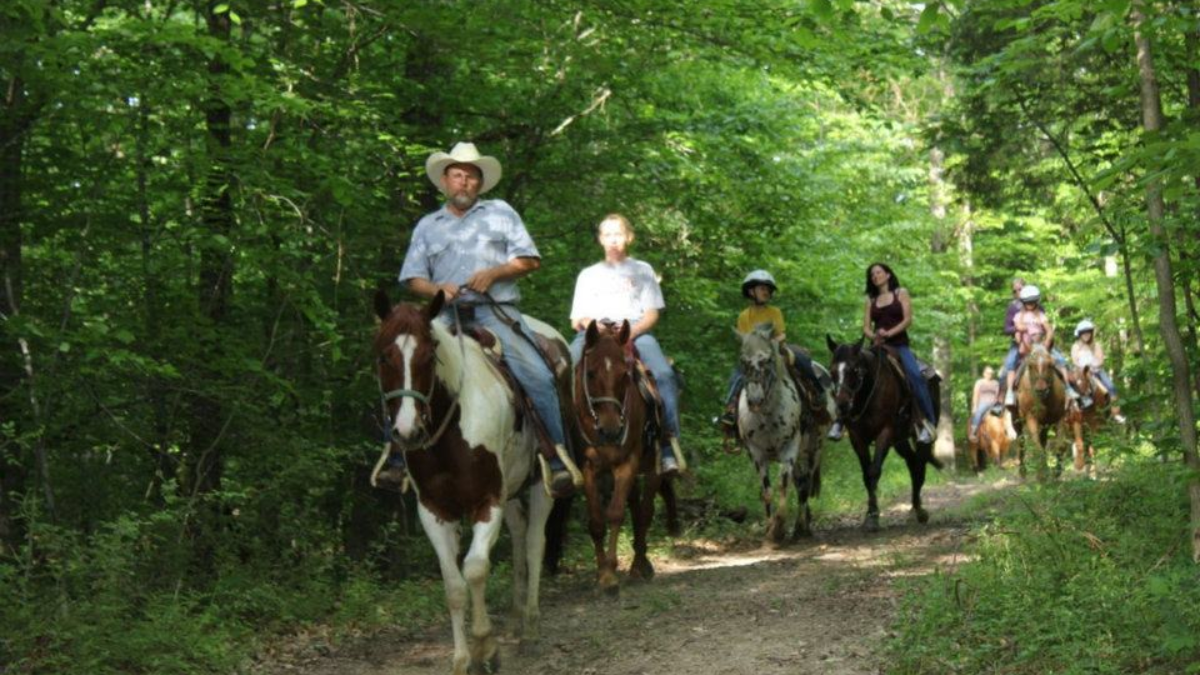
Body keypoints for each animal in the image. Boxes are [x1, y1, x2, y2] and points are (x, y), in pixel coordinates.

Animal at [372, 289, 564, 672]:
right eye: (384, 356)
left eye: (429, 356)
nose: (407, 431)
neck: (453, 431)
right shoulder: (434, 510)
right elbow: (454, 585)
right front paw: (462, 658)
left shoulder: (486, 501)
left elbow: (475, 569)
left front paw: (485, 647)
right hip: (511, 492)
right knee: (519, 536)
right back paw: (516, 620)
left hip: (541, 482)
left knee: (534, 543)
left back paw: (531, 626)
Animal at [573, 317, 672, 590]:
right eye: (590, 373)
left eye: (624, 375)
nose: (611, 429)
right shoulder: (588, 466)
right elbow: (596, 521)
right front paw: (601, 573)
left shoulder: (627, 463)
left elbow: (616, 513)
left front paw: (610, 575)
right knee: (637, 509)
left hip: (652, 466)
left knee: (645, 513)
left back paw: (639, 565)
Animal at [734, 324, 830, 540]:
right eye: (743, 360)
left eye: (768, 359)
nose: (755, 400)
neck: (767, 417)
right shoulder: (756, 453)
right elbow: (767, 491)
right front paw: (769, 528)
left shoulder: (789, 449)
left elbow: (783, 485)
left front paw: (779, 527)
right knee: (800, 482)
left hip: (813, 450)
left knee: (804, 485)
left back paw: (801, 528)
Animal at [825, 333, 936, 528]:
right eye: (832, 371)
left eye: (855, 370)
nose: (842, 406)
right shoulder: (857, 438)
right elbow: (866, 475)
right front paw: (870, 515)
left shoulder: (885, 432)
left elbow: (874, 471)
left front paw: (873, 516)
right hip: (900, 441)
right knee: (912, 463)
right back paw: (914, 509)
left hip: (919, 436)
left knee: (920, 465)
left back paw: (920, 512)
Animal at [1012, 343, 1070, 480]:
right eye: (1030, 365)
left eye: (1050, 364)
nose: (1041, 390)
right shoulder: (1031, 418)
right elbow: (1036, 445)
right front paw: (1042, 475)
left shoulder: (1060, 417)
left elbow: (1061, 445)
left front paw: (1056, 472)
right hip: (1016, 421)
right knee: (1021, 442)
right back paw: (1023, 471)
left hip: (1045, 425)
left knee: (1043, 441)